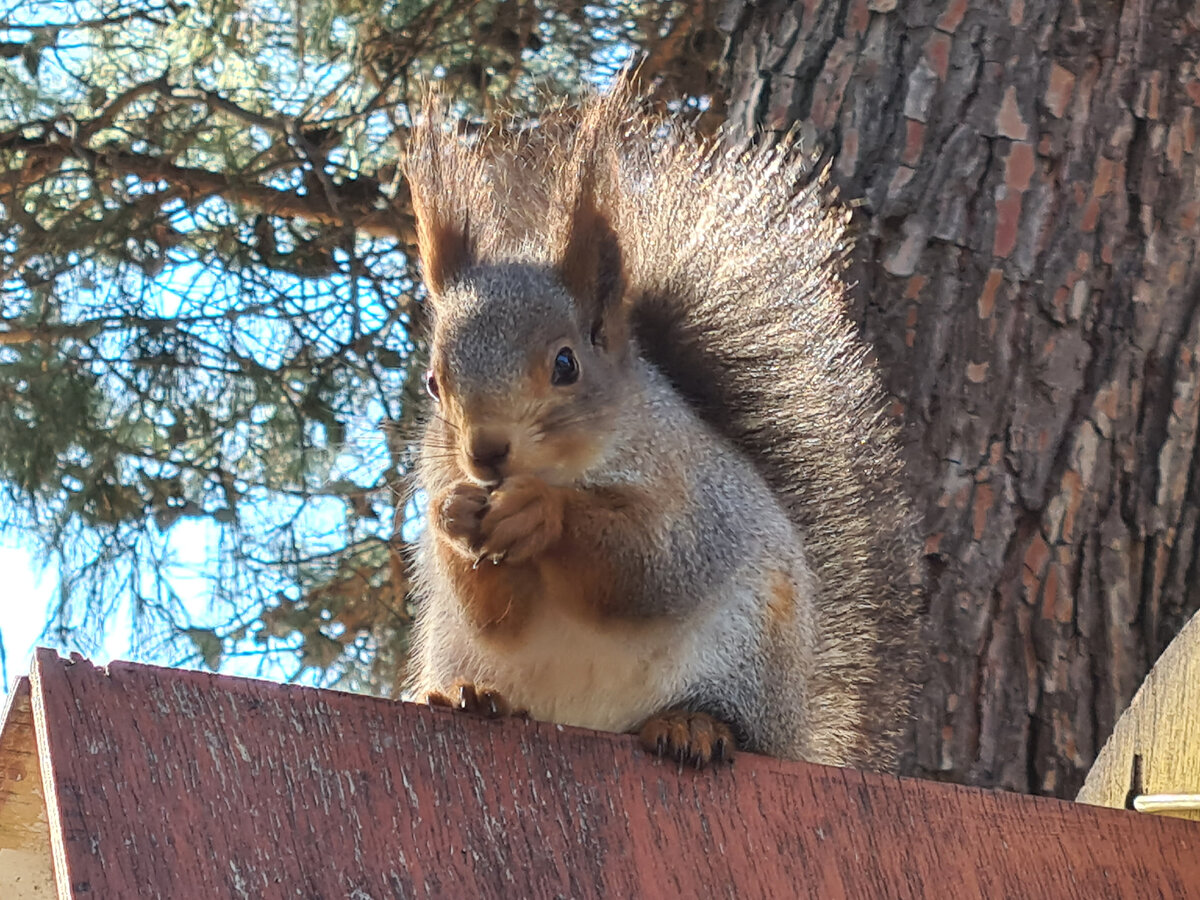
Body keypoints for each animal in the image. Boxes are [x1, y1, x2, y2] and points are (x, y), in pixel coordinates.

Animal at [398, 88, 921, 772]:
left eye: (566, 364)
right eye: (434, 382)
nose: (485, 454)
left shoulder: (690, 500)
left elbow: (645, 565)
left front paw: (541, 510)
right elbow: (493, 615)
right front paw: (454, 516)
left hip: (745, 657)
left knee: (728, 718)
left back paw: (692, 726)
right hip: (458, 647)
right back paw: (475, 696)